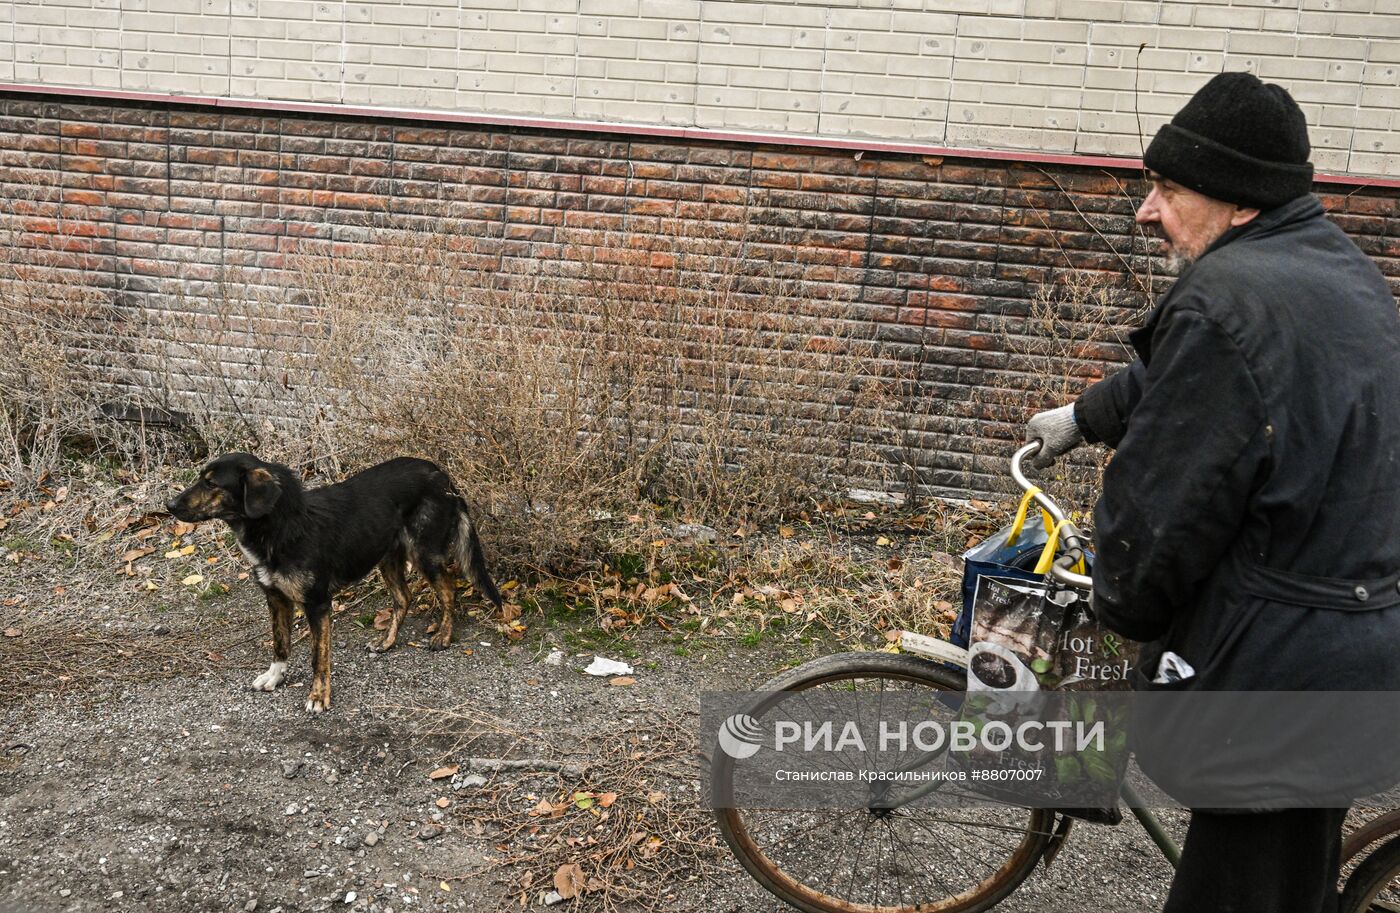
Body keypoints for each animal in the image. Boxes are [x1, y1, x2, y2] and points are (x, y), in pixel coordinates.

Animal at [168, 456, 504, 714]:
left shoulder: (317, 605)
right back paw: (386, 641)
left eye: (212, 484)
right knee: (404, 597)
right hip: (387, 555)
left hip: (425, 554)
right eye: (201, 479)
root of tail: (441, 474)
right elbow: (280, 643)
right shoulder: (276, 598)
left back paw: (444, 635)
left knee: (448, 589)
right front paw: (275, 676)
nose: (169, 505)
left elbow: (319, 656)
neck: (280, 526)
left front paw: (318, 697)